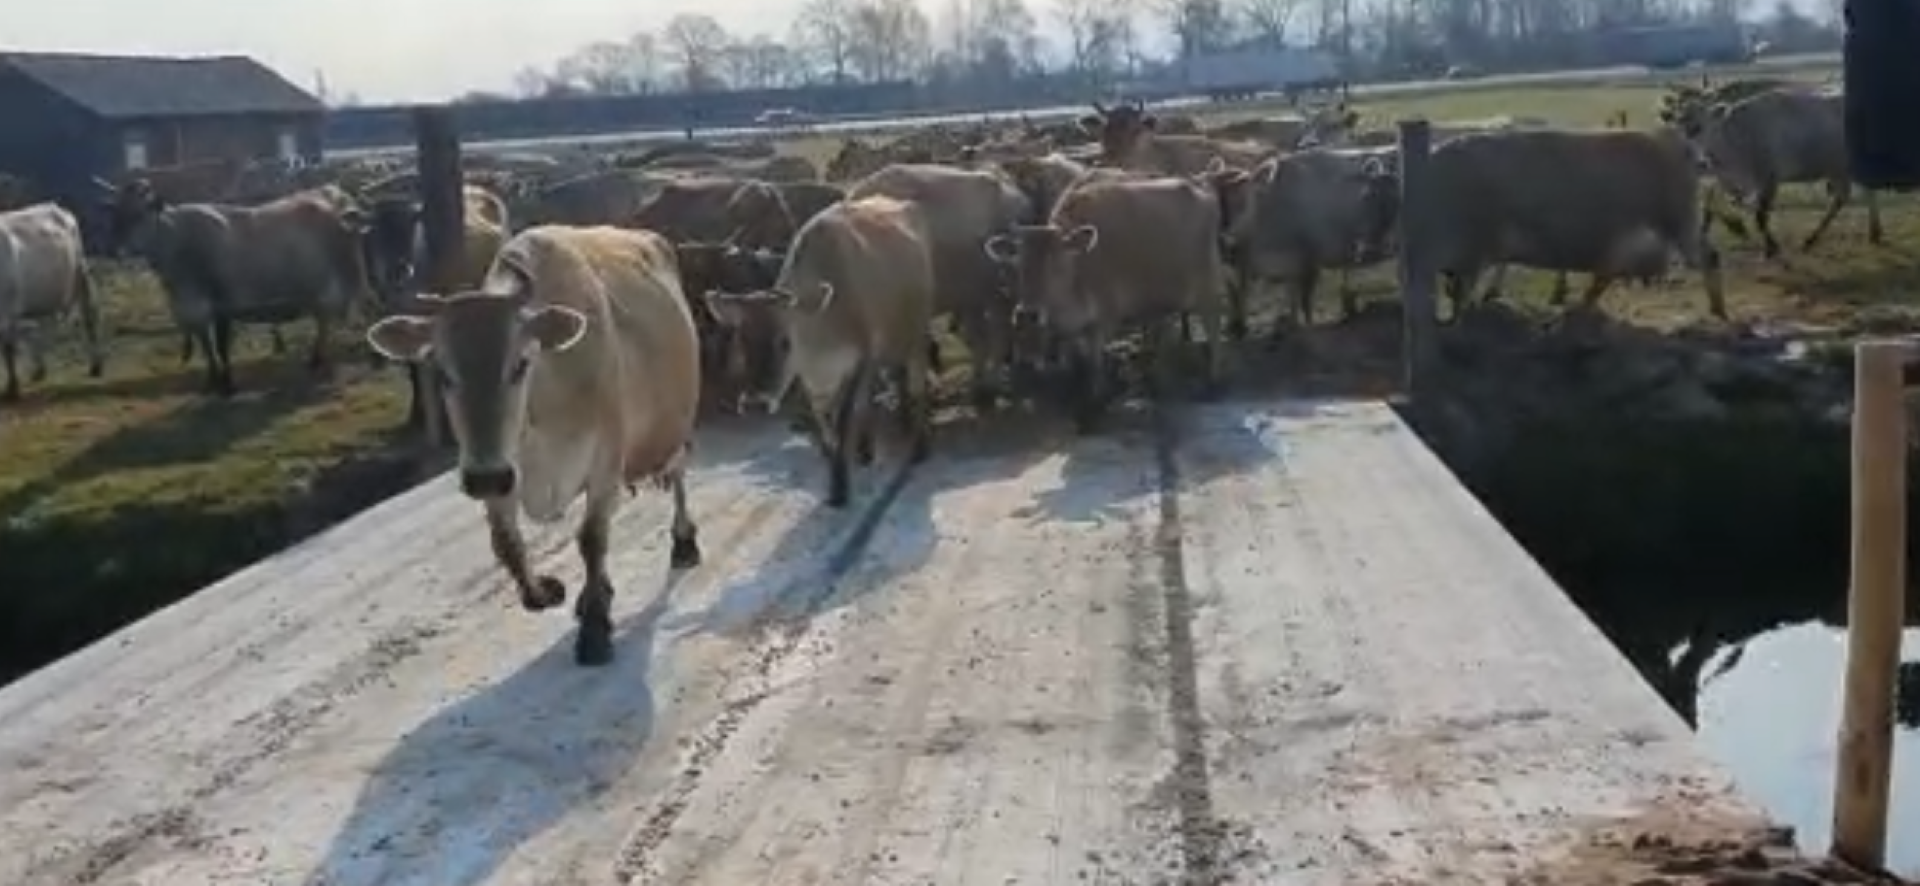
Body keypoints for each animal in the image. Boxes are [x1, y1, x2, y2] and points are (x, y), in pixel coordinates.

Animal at [0, 201, 102, 399]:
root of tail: (57, 208)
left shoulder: (7, 310)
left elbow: (8, 348)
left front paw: (13, 388)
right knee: (41, 326)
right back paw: (39, 370)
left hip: (81, 275)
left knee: (89, 318)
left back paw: (96, 366)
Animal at [362, 224, 702, 664]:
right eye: (443, 373)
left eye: (521, 364)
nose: (484, 478)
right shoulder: (500, 470)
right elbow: (507, 544)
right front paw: (549, 592)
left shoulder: (606, 462)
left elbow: (591, 539)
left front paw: (595, 626)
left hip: (673, 427)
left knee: (677, 474)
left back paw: (684, 541)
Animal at [710, 196, 940, 507]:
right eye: (741, 340)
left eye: (785, 342)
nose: (757, 400)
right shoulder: (812, 378)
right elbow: (825, 425)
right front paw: (836, 479)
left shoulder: (860, 359)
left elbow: (843, 420)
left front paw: (841, 488)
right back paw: (868, 447)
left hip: (916, 333)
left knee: (916, 384)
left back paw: (919, 447)